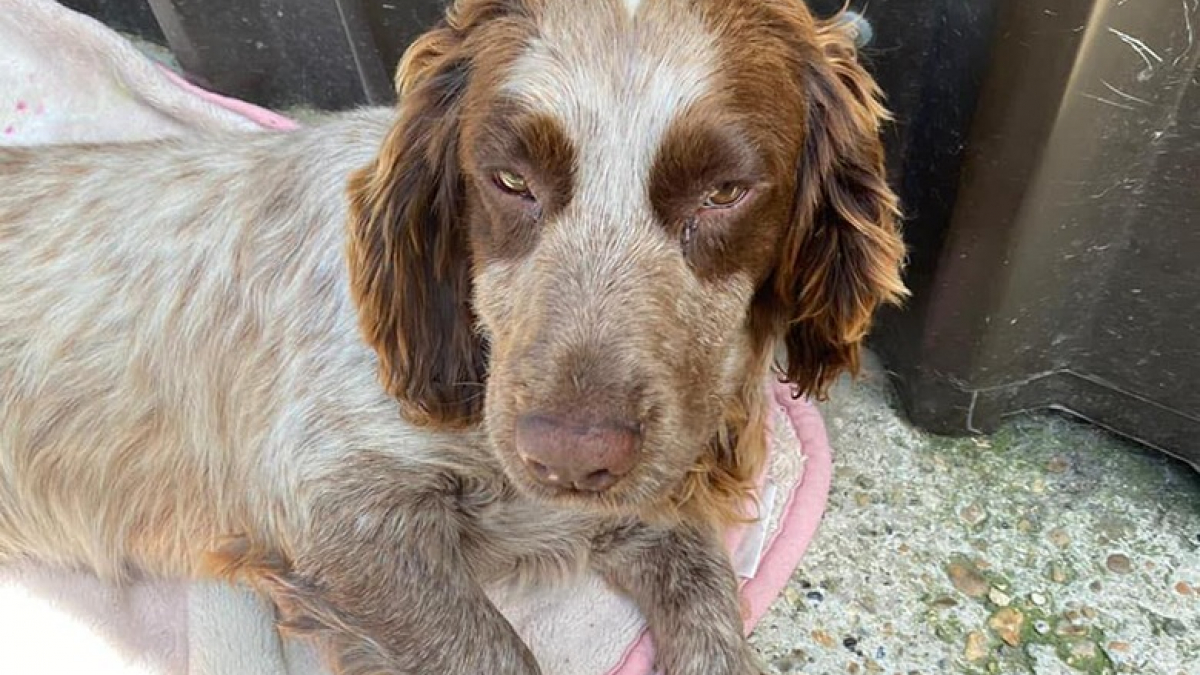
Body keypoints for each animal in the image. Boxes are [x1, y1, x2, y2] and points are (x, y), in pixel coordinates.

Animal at [0, 1, 902, 672]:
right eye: (508, 179)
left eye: (724, 191)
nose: (570, 457)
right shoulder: (336, 505)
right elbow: (493, 650)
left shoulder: (652, 495)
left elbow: (712, 608)